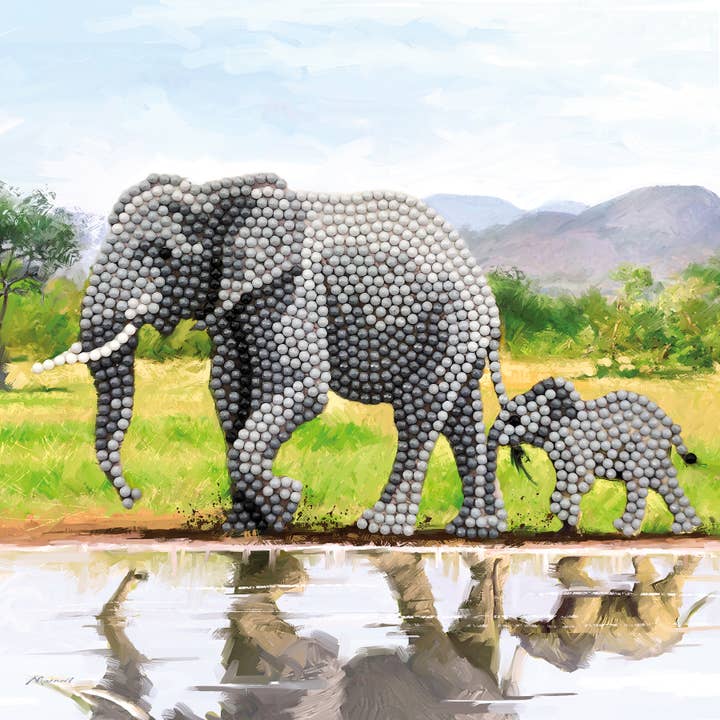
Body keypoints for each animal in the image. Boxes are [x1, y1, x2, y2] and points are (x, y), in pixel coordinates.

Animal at [33, 173, 508, 537]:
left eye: (165, 254)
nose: (134, 495)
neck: (218, 195)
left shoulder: (293, 286)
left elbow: (300, 387)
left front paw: (286, 501)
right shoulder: (233, 299)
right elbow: (230, 393)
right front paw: (245, 525)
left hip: (450, 325)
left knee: (418, 414)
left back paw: (382, 526)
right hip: (457, 336)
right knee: (460, 419)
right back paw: (477, 530)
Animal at [488, 377, 701, 535]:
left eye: (515, 420)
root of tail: (670, 426)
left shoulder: (576, 449)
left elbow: (579, 482)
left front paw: (570, 527)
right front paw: (567, 530)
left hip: (641, 451)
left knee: (639, 486)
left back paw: (625, 529)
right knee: (665, 484)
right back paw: (687, 528)